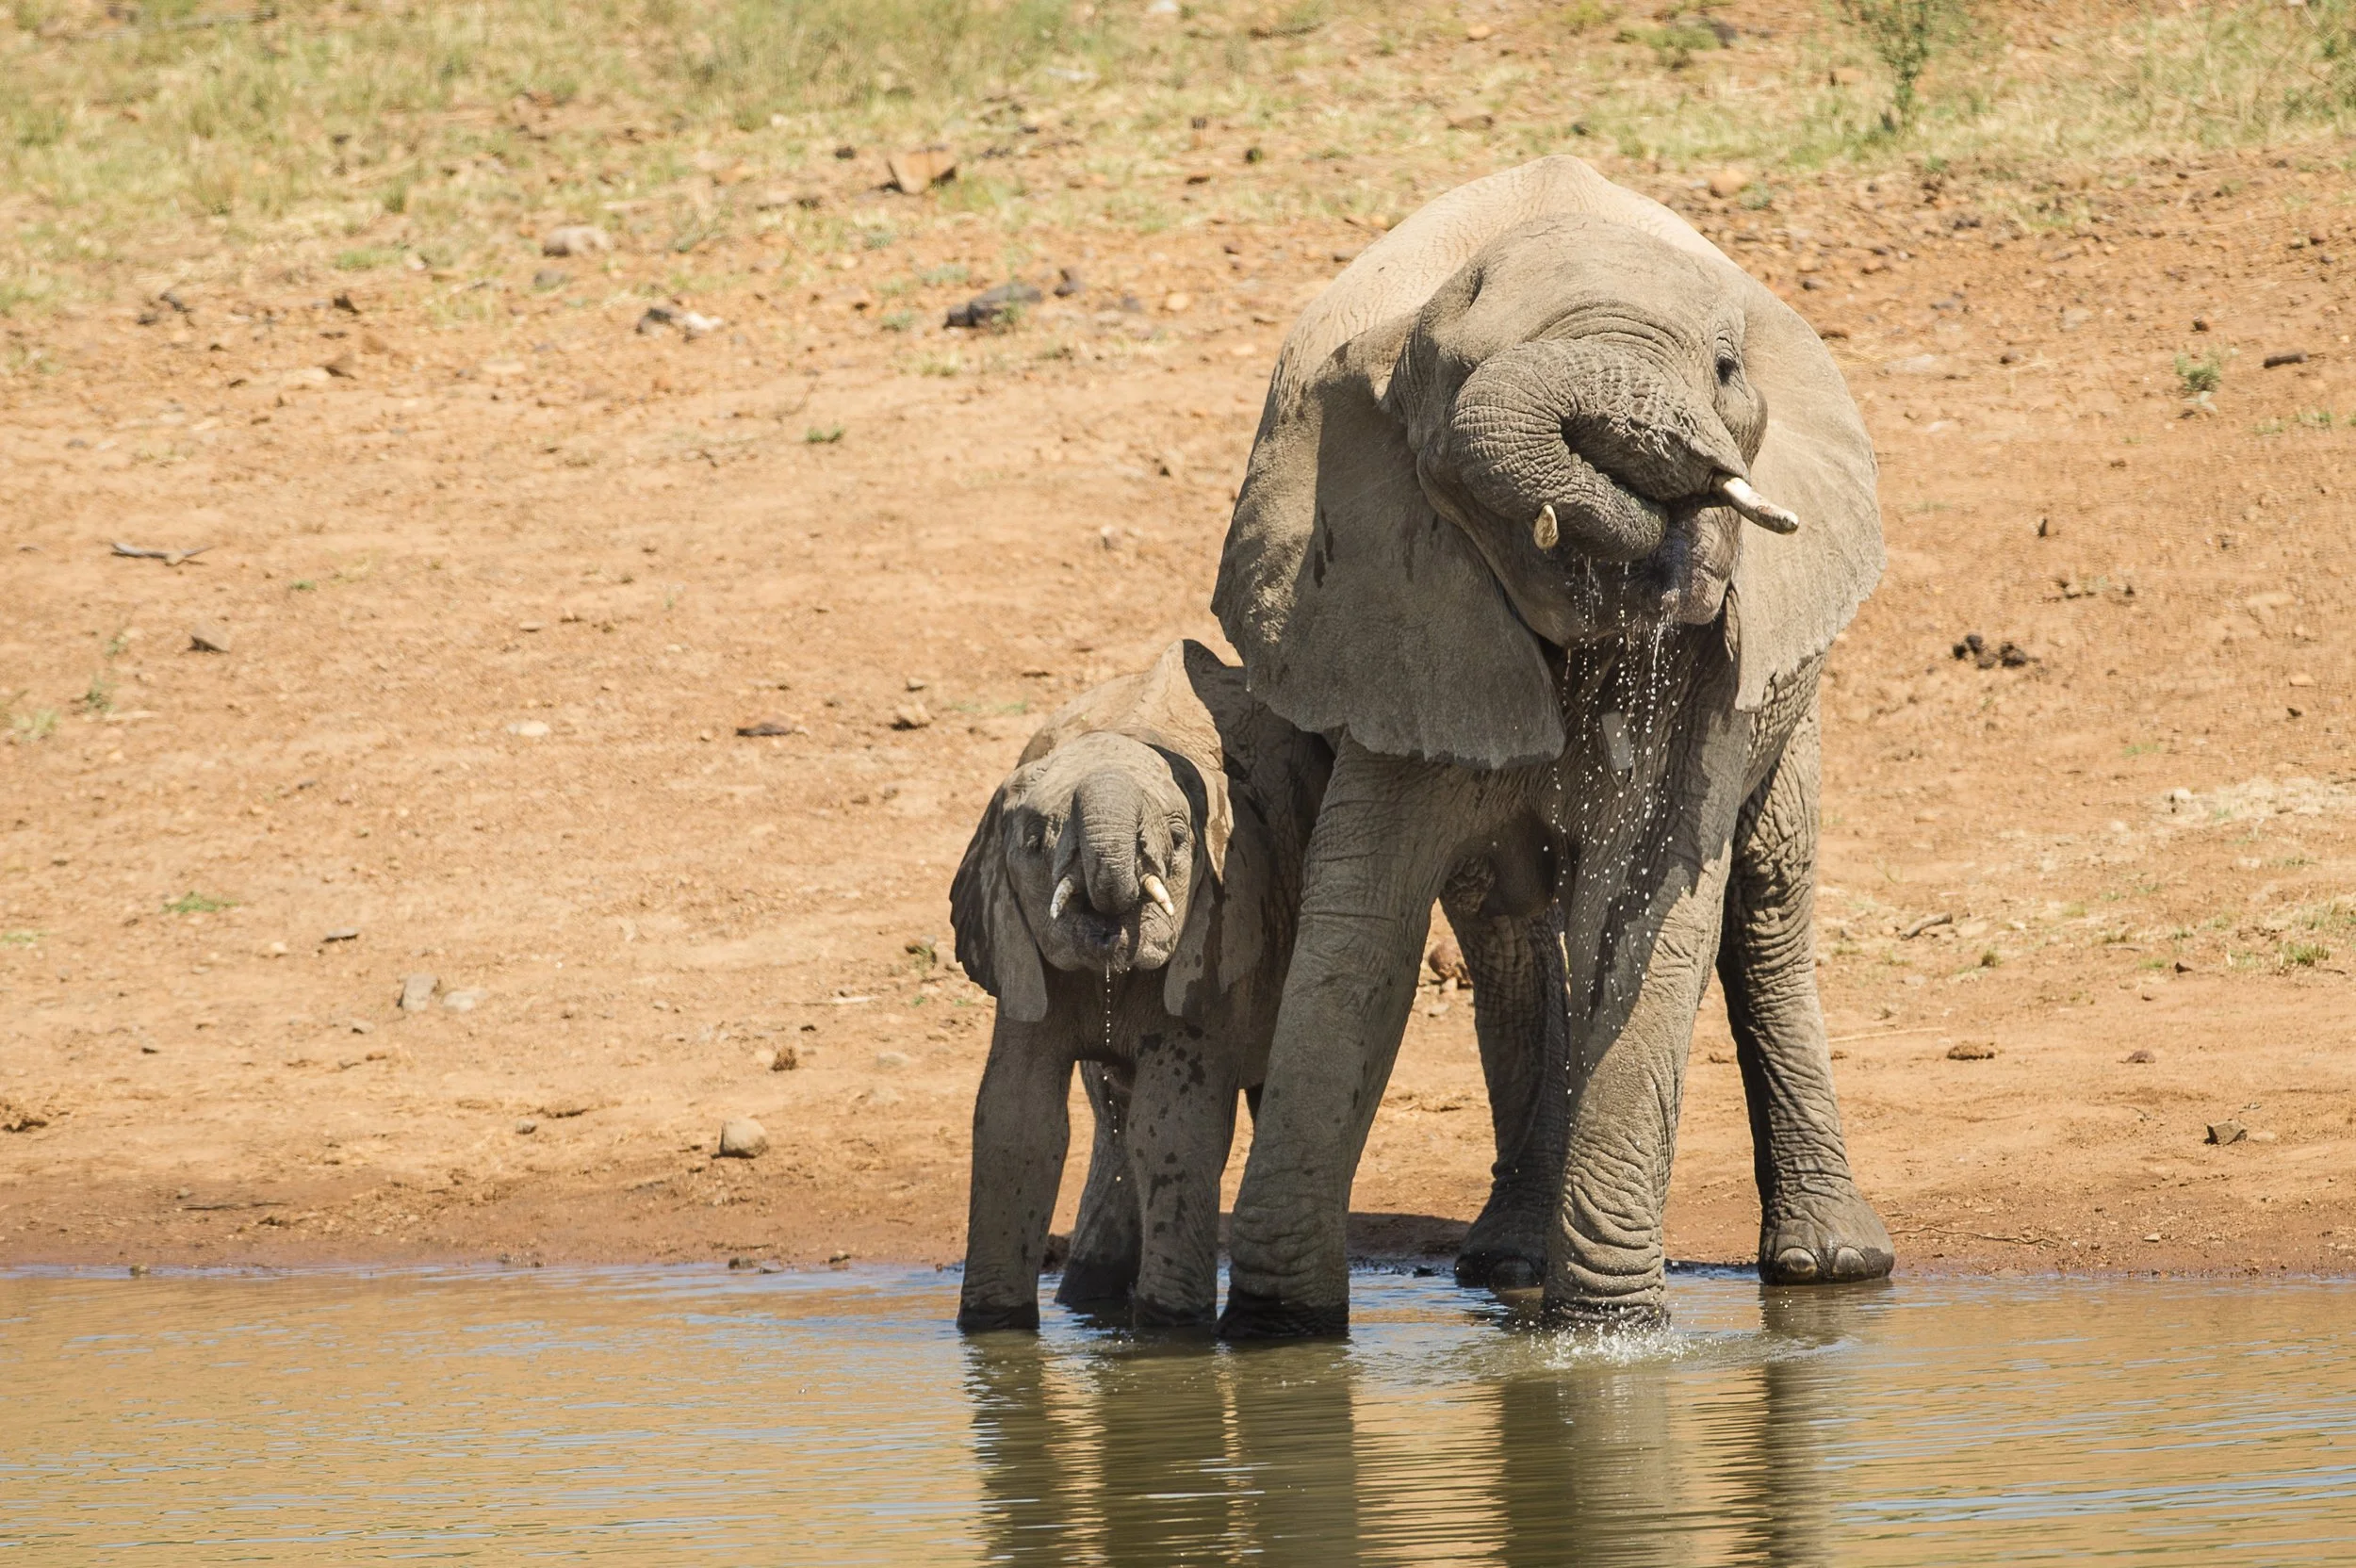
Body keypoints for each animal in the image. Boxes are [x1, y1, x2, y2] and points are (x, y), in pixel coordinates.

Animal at [951, 639, 1331, 1330]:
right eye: (1035, 840)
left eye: (1179, 841)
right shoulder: (1017, 946)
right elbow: (1017, 1120)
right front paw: (992, 1330)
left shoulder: (1215, 939)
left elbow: (1174, 1125)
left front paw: (1170, 1332)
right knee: (1111, 1115)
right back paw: (1087, 1295)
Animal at [1211, 155, 1894, 1336]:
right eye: (1452, 371)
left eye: (1726, 368)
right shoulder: (1392, 605)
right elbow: (1362, 922)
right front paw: (1275, 1334)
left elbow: (1646, 899)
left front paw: (1607, 1333)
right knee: (1508, 930)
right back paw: (1506, 1258)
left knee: (1764, 901)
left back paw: (1832, 1263)